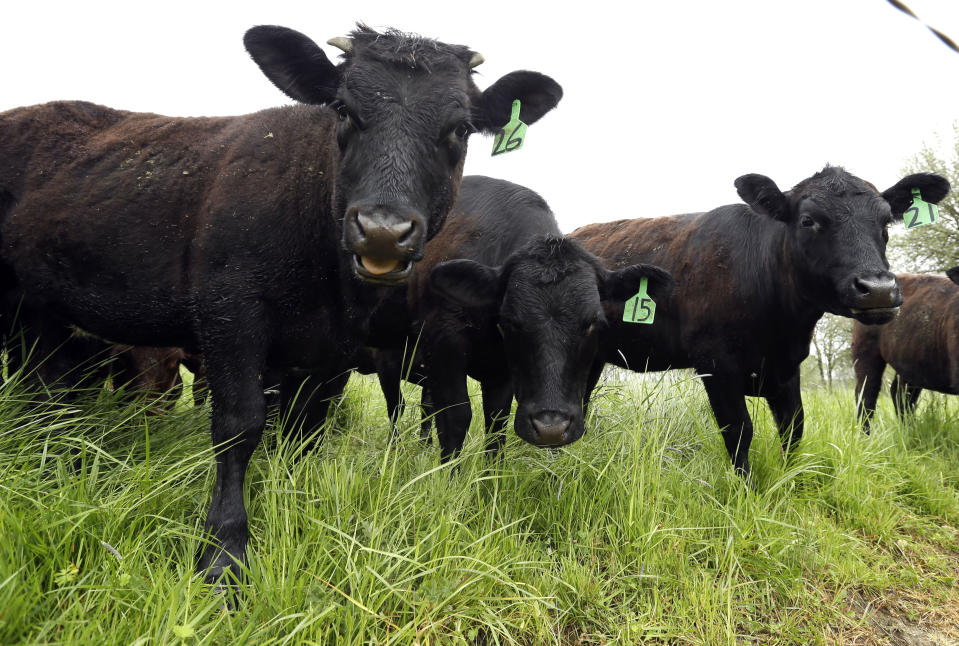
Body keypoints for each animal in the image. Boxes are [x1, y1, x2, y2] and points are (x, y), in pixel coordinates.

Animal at [0, 24, 564, 584]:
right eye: (343, 110)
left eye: (460, 129)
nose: (383, 231)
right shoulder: (230, 316)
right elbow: (239, 425)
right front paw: (224, 553)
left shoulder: (328, 353)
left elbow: (303, 430)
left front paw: (288, 505)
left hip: (40, 314)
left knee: (41, 386)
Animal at [372, 176, 672, 460]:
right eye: (511, 322)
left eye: (593, 324)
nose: (551, 428)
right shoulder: (443, 344)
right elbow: (456, 418)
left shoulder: (501, 372)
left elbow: (496, 423)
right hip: (388, 358)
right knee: (397, 407)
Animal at [852, 268, 959, 430]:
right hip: (865, 353)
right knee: (866, 394)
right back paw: (865, 434)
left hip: (910, 363)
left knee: (900, 395)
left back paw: (909, 430)